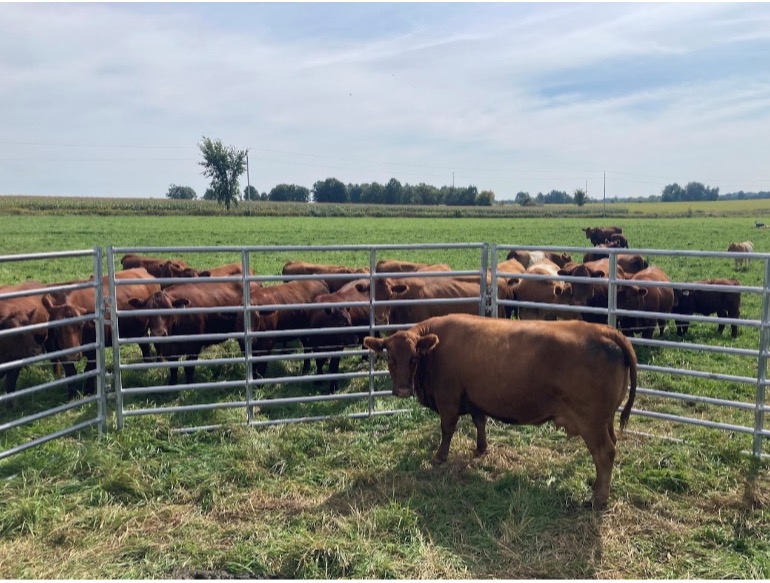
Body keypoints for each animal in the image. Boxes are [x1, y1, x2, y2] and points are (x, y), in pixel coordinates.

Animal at [364, 313, 637, 509]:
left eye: (413, 358)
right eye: (390, 358)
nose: (402, 390)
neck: (434, 352)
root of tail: (603, 330)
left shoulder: (448, 398)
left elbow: (447, 428)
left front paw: (439, 457)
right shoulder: (475, 398)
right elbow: (480, 421)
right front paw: (481, 448)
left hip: (591, 423)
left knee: (604, 453)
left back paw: (598, 499)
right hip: (606, 421)